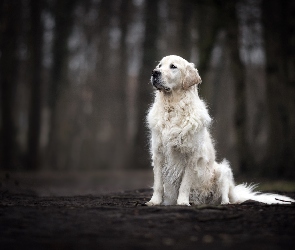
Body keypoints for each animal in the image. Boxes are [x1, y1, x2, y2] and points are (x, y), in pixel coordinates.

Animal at [146, 55, 295, 206]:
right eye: (159, 65)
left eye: (173, 66)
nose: (154, 73)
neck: (173, 108)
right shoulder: (158, 154)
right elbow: (158, 184)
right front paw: (154, 201)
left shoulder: (192, 156)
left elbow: (184, 185)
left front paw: (182, 202)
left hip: (223, 170)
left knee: (226, 196)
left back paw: (223, 203)